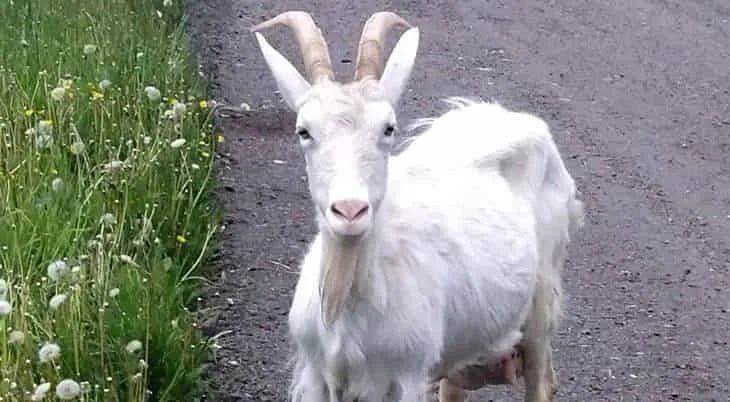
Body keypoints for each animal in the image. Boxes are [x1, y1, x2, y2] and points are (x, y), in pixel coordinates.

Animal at [250, 11, 584, 402]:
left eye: (388, 128)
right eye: (304, 131)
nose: (350, 211)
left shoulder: (406, 375)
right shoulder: (315, 374)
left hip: (541, 299)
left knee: (541, 379)